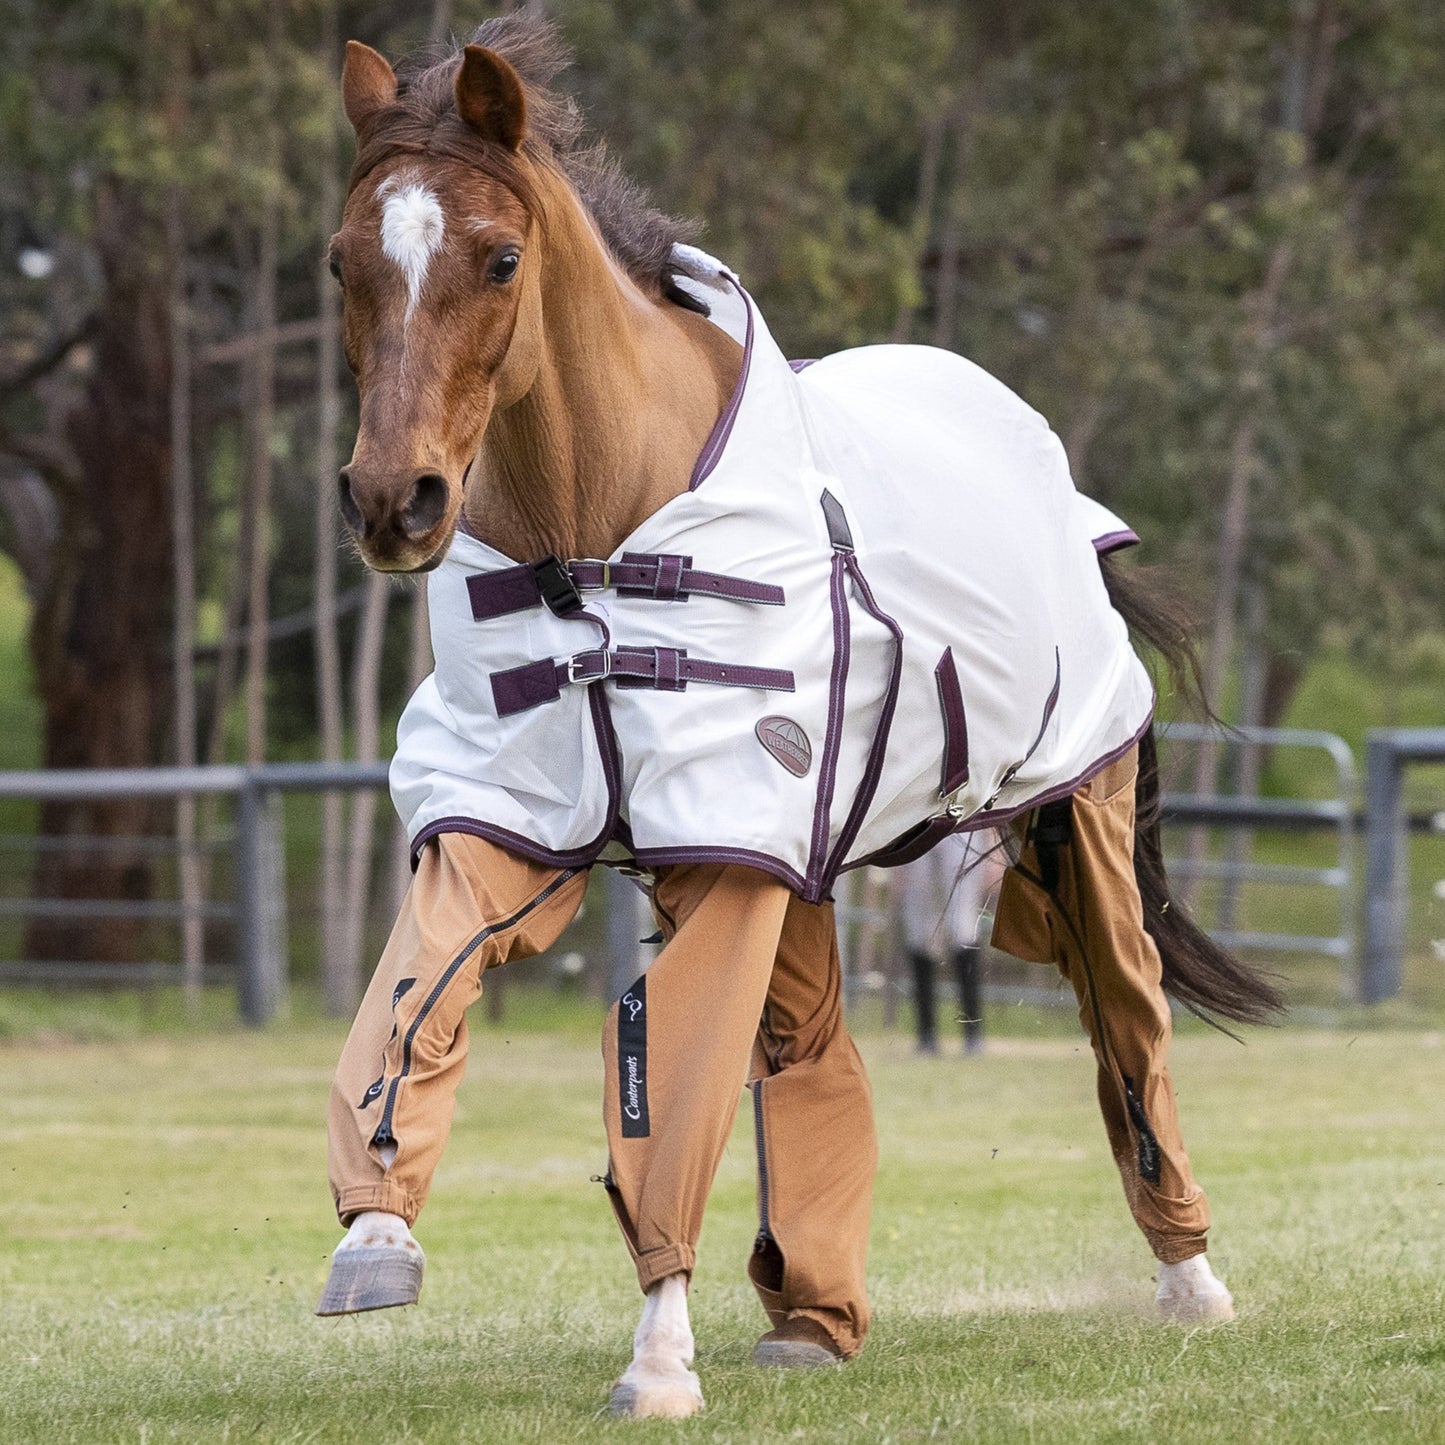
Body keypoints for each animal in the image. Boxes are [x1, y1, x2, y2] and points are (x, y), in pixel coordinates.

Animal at [316, 15, 1283, 1420]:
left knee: (1127, 1023)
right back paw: (815, 1316)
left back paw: (1189, 1279)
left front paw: (659, 1358)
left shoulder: (731, 842)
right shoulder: (518, 814)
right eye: (342, 260)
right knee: (812, 1047)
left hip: (1074, 815)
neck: (593, 549)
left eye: (498, 257)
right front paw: (375, 1231)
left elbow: (675, 1080)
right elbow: (412, 994)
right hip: (811, 867)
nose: (396, 501)